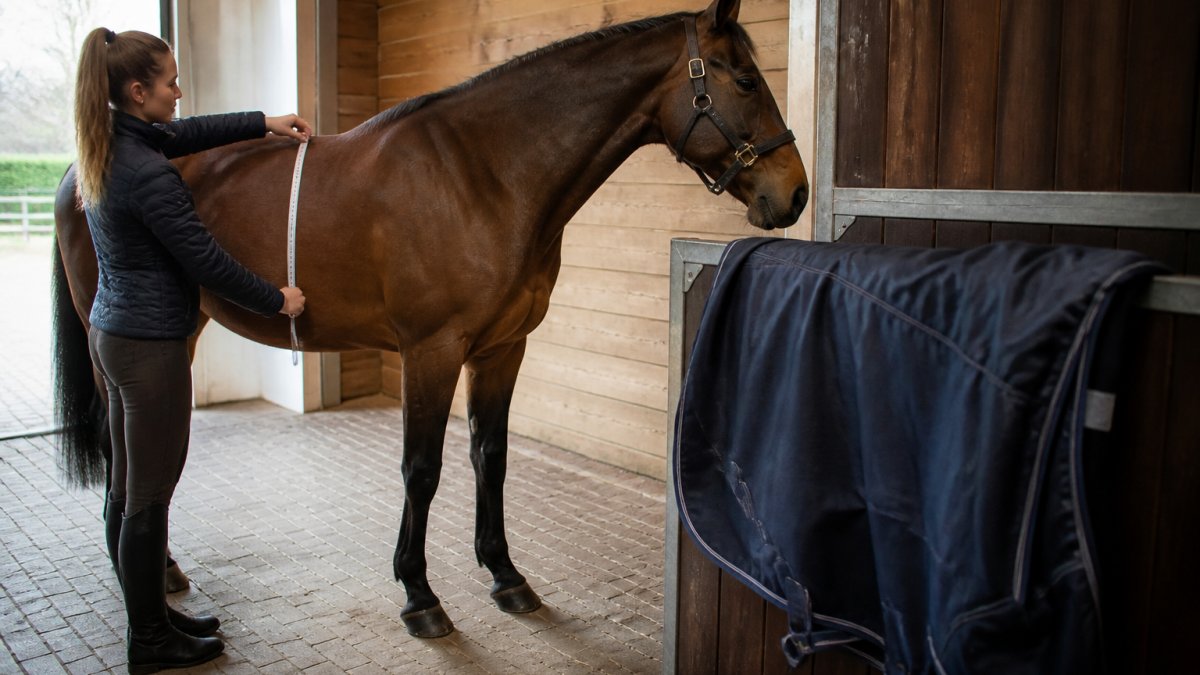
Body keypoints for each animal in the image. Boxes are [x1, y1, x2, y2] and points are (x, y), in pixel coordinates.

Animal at [52, 0, 808, 638]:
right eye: (745, 79)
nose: (795, 193)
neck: (484, 174)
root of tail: (83, 168)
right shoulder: (431, 351)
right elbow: (422, 468)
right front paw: (420, 594)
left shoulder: (503, 349)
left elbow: (490, 457)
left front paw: (506, 575)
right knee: (129, 454)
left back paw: (164, 572)